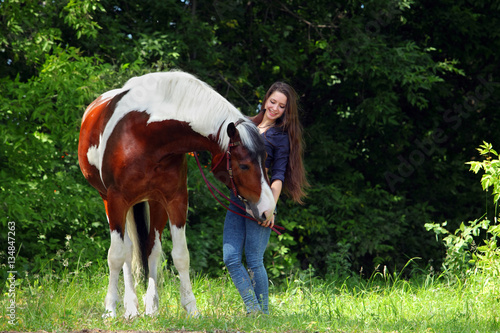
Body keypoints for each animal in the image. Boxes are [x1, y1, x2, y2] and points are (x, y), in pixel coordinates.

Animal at [77, 70, 278, 316]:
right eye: (244, 166)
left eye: (266, 159)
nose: (268, 210)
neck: (145, 135)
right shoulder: (116, 200)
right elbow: (115, 256)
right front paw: (110, 310)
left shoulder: (176, 199)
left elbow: (181, 256)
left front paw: (191, 309)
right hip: (110, 201)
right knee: (126, 251)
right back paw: (130, 307)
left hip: (154, 203)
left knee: (151, 249)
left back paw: (150, 307)